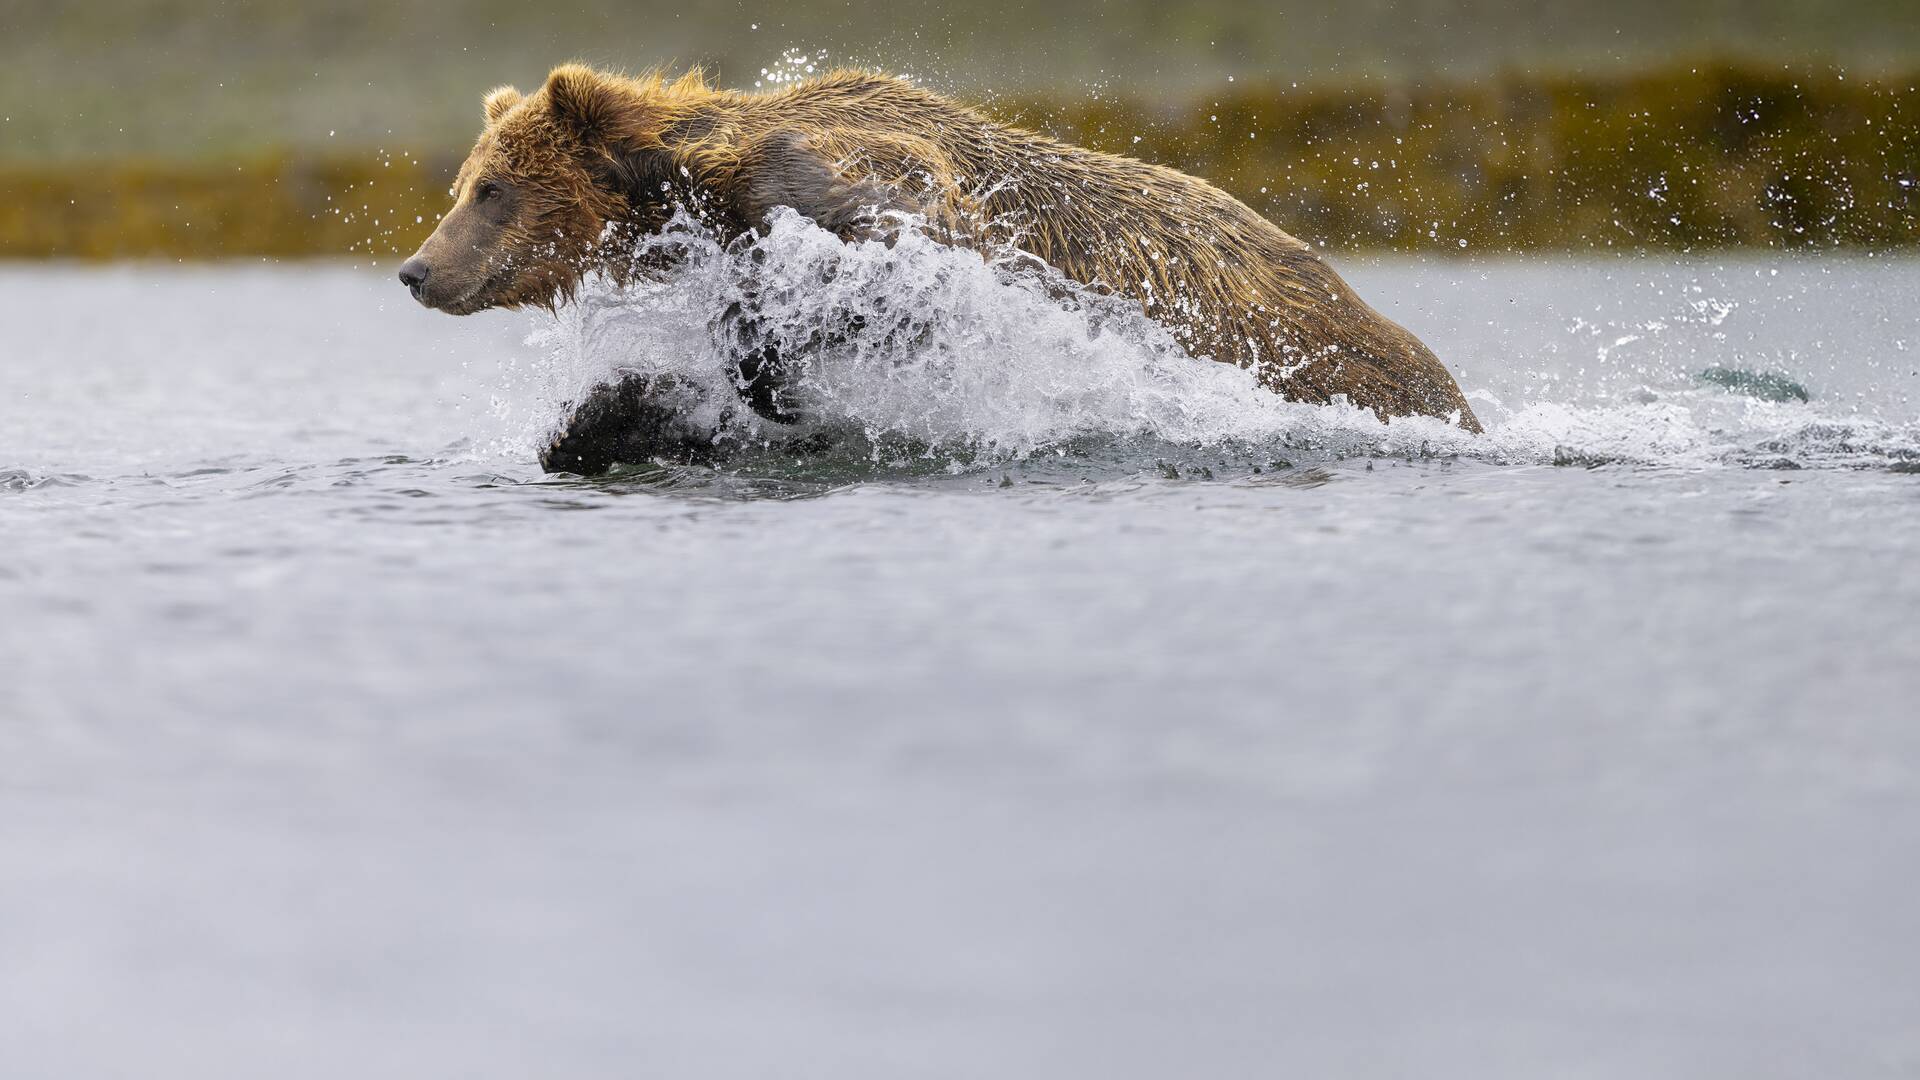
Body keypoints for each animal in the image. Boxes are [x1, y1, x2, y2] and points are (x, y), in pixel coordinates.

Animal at [397, 64, 1482, 474]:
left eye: (489, 187)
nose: (415, 269)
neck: (691, 185)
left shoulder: (884, 191)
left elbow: (901, 273)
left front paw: (770, 371)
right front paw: (593, 424)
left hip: (1329, 357)